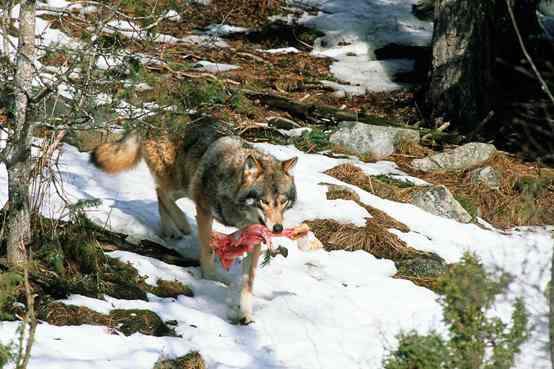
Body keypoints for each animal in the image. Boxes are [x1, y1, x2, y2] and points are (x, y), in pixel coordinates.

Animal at [90, 115, 298, 322]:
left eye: (282, 202)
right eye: (264, 201)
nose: (278, 229)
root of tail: (153, 117)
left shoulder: (254, 232)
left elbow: (248, 282)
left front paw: (245, 314)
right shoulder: (204, 211)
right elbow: (207, 249)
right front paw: (211, 276)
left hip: (186, 185)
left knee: (161, 195)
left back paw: (170, 231)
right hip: (184, 183)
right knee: (162, 192)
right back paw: (181, 224)